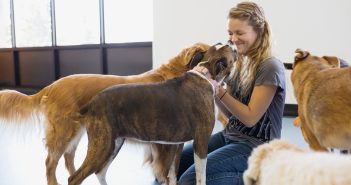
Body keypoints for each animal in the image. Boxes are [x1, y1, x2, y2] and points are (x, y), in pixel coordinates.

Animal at [0, 42, 210, 185]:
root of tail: (51, 86)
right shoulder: (161, 142)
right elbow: (164, 169)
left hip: (81, 133)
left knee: (70, 159)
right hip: (66, 132)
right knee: (51, 162)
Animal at [67, 43, 235, 185]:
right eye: (227, 48)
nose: (232, 43)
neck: (205, 75)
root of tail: (92, 102)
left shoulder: (176, 146)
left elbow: (172, 174)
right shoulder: (201, 142)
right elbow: (201, 176)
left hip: (113, 144)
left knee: (100, 172)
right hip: (102, 145)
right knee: (75, 177)